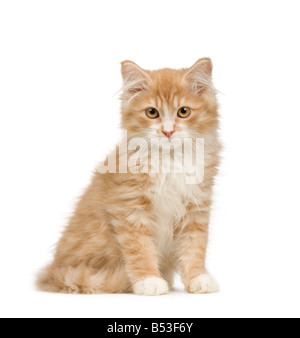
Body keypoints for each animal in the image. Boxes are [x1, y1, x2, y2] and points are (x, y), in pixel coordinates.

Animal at [37, 58, 220, 296]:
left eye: (183, 111)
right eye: (152, 112)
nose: (168, 132)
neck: (169, 161)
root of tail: (52, 273)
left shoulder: (196, 206)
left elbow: (194, 247)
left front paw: (198, 278)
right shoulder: (130, 207)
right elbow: (139, 248)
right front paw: (148, 281)